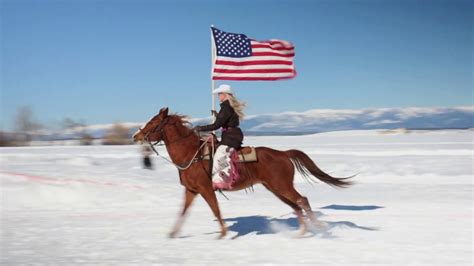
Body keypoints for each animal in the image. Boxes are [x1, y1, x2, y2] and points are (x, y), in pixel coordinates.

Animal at [133, 108, 352, 239]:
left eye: (153, 122)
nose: (136, 136)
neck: (190, 153)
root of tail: (283, 153)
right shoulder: (191, 191)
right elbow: (183, 211)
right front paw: (173, 233)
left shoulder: (206, 189)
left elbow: (216, 210)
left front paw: (223, 233)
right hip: (275, 188)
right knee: (296, 205)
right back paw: (301, 232)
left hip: (282, 186)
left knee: (302, 200)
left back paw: (320, 229)